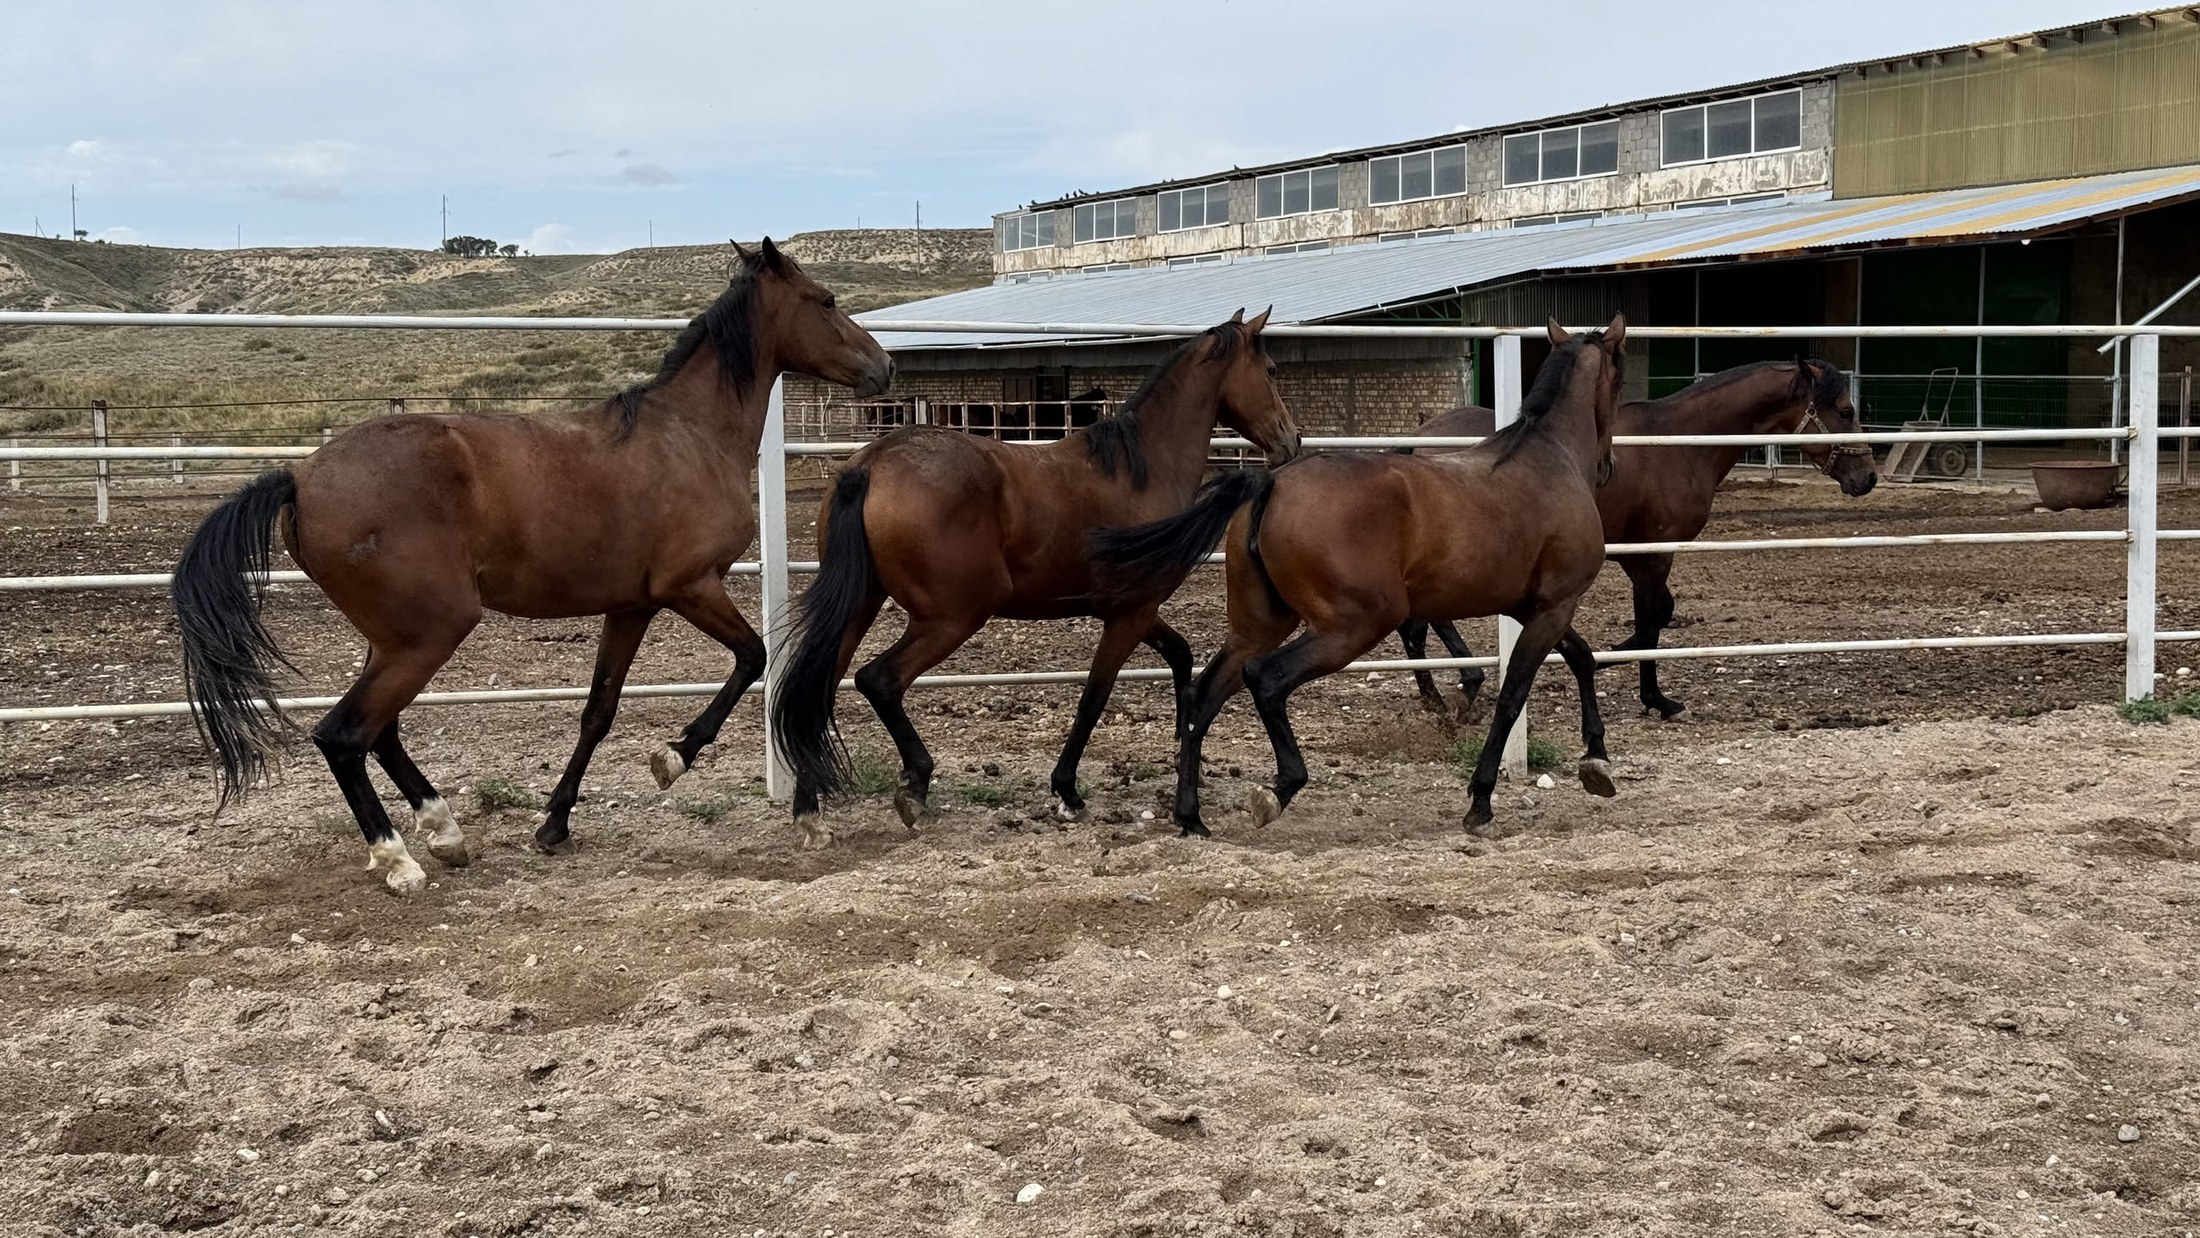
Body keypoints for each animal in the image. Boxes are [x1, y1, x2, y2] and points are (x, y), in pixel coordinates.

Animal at [171, 238, 894, 895]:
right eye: (825, 300)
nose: (884, 368)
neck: (690, 435)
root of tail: (299, 477)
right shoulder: (689, 587)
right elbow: (752, 657)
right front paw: (672, 758)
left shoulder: (631, 605)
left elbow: (598, 710)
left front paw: (555, 824)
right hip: (430, 632)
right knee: (345, 734)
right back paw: (400, 861)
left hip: (394, 638)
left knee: (382, 730)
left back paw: (446, 833)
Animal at [772, 310, 1302, 848]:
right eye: (1272, 369)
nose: (1291, 441)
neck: (1142, 469)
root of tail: (870, 465)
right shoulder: (1129, 616)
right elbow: (1094, 698)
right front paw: (1068, 792)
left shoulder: (1134, 610)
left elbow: (1179, 655)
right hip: (951, 619)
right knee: (877, 680)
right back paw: (914, 788)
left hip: (860, 606)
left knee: (814, 688)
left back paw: (809, 812)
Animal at [1091, 316, 1628, 837]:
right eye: (1619, 378)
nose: (1609, 466)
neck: (1549, 459)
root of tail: (1272, 481)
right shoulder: (1554, 606)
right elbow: (1515, 695)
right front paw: (1481, 802)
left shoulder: (1537, 607)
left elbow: (1582, 658)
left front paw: (1597, 762)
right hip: (1355, 625)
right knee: (1265, 679)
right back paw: (1279, 789)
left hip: (1261, 624)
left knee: (1202, 695)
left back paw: (1191, 816)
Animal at [1397, 359, 1877, 719]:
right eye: (1845, 410)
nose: (1868, 477)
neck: (1679, 442)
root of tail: (1419, 438)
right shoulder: (1652, 555)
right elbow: (1650, 622)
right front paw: (1656, 698)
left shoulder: (1637, 557)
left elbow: (1660, 614)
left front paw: (1615, 655)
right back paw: (1465, 684)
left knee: (1417, 626)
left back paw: (1441, 694)